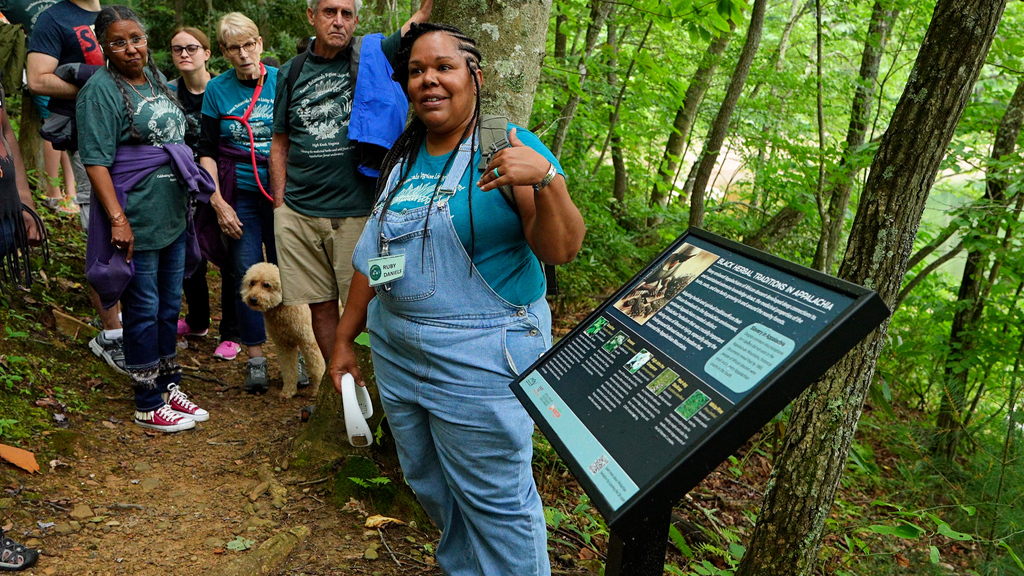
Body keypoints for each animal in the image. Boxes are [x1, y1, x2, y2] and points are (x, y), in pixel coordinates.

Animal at [239, 262, 323, 397]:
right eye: (252, 282)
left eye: (266, 284)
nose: (252, 299)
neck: (283, 308)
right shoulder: (284, 344)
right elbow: (289, 369)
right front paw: (288, 391)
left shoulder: (310, 341)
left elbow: (318, 367)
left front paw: (318, 389)